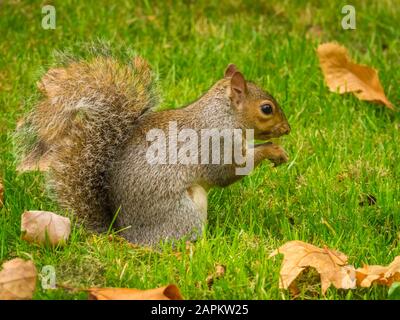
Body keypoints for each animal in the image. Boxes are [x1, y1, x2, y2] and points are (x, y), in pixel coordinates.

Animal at [16, 54, 290, 245]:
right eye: (267, 108)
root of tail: (125, 236)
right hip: (184, 211)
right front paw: (273, 151)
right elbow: (229, 171)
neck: (224, 114)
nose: (287, 129)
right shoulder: (217, 144)